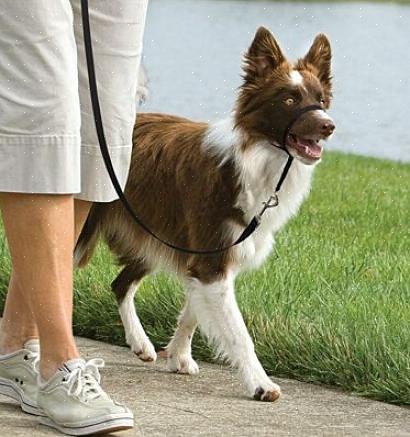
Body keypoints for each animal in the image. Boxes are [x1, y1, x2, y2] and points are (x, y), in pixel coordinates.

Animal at [75, 28, 334, 402]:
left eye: (321, 99)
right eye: (288, 99)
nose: (329, 126)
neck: (256, 160)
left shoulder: (207, 255)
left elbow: (192, 313)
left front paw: (179, 356)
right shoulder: (212, 260)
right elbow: (238, 333)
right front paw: (260, 384)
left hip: (153, 232)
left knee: (120, 283)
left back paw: (141, 344)